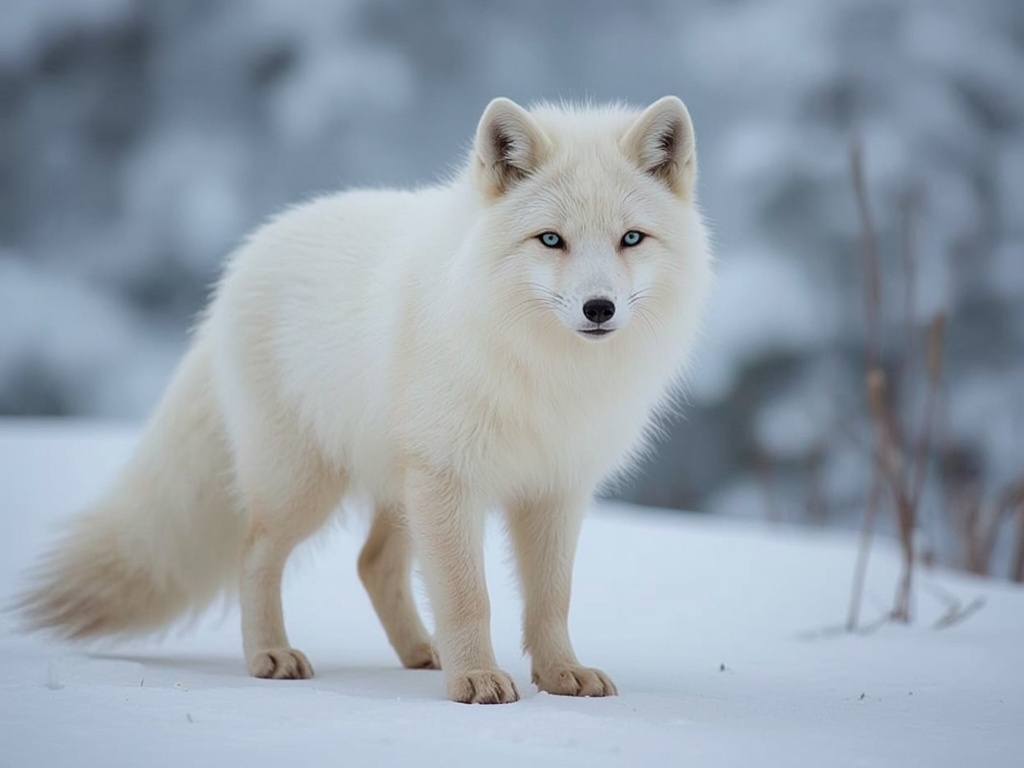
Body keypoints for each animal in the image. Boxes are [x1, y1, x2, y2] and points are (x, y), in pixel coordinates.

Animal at [16, 96, 713, 704]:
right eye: (550, 240)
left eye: (631, 239)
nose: (600, 308)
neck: (547, 370)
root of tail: (243, 260)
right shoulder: (450, 479)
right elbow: (469, 596)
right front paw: (476, 681)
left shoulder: (556, 488)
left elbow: (551, 599)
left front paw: (561, 675)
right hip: (306, 487)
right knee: (255, 555)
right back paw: (270, 655)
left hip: (397, 490)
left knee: (372, 563)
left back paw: (422, 652)